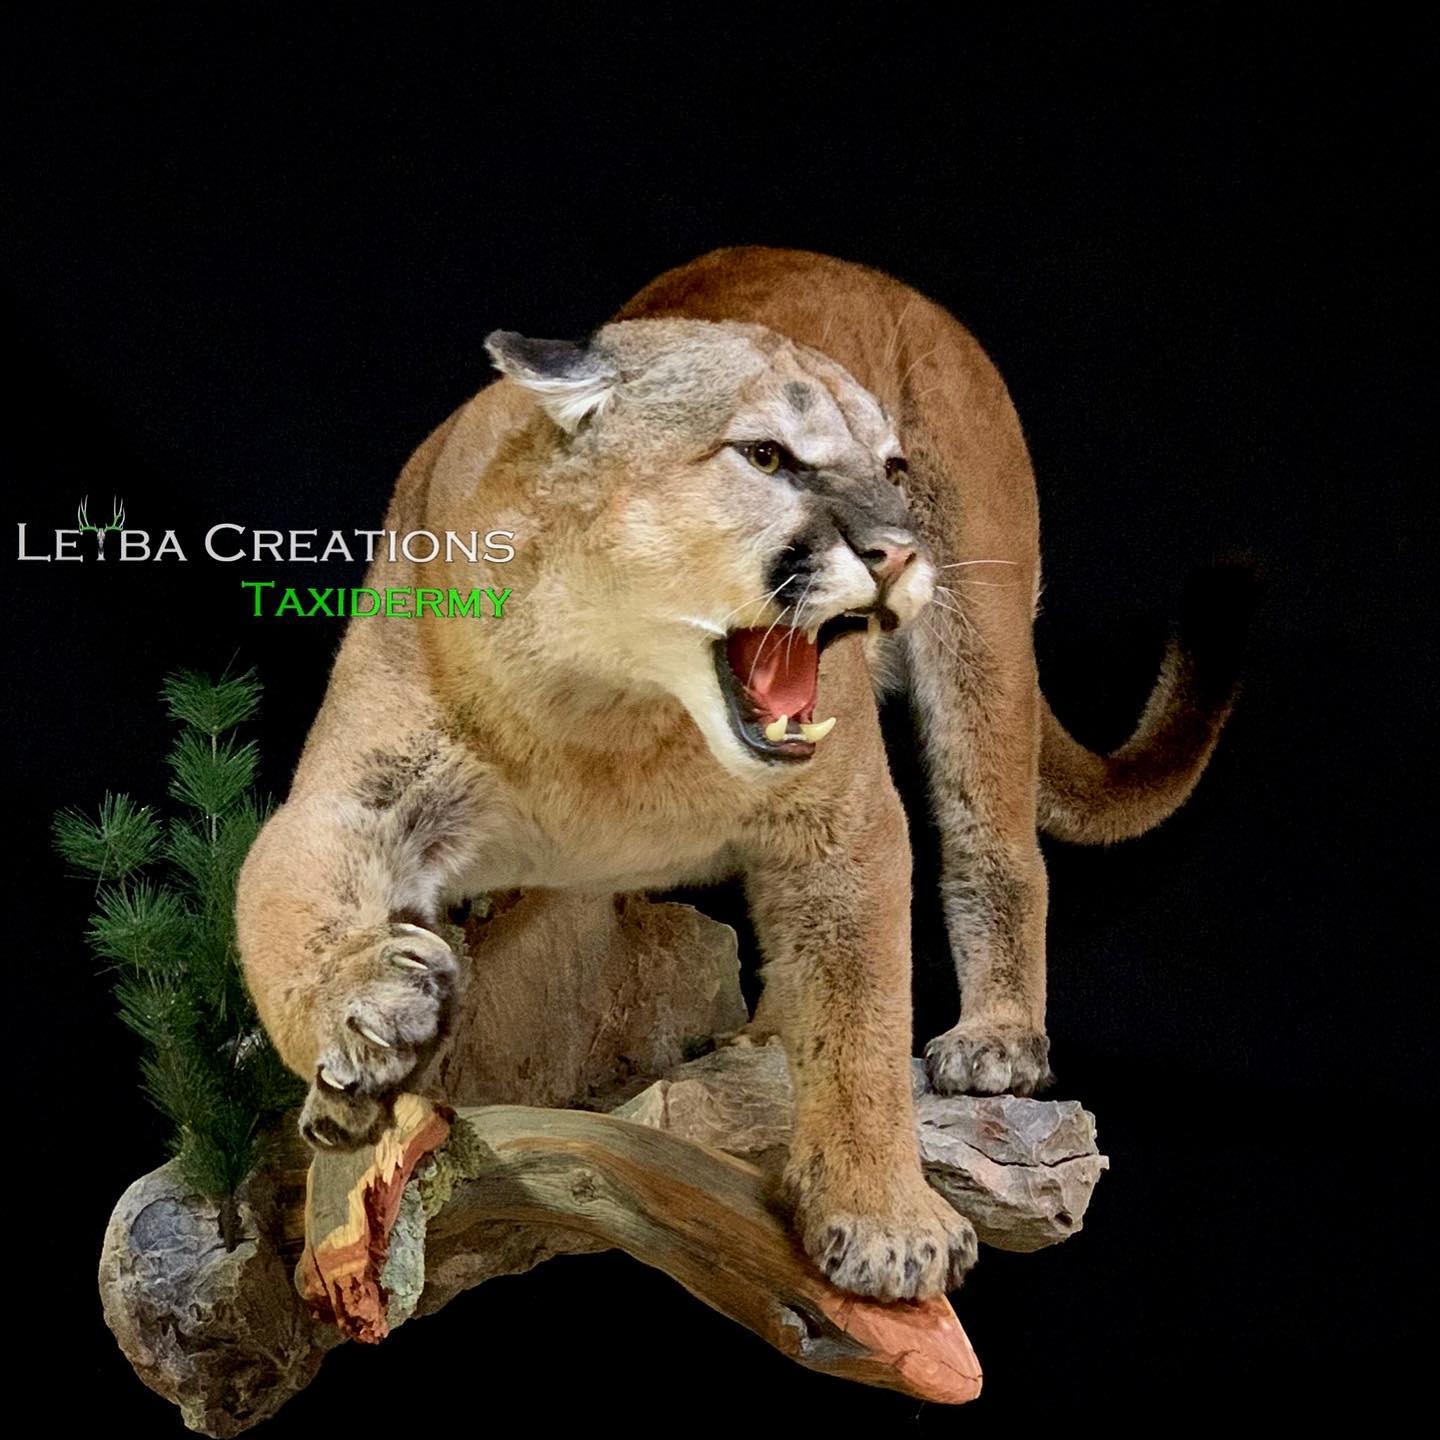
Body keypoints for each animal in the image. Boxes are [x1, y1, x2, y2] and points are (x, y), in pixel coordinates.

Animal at [236, 247, 1250, 1301]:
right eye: (767, 458)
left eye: (891, 470)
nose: (898, 553)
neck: (609, 709)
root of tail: (868, 272)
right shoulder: (351, 796)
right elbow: (282, 910)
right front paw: (363, 1027)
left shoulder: (846, 821)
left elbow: (863, 1022)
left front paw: (885, 1221)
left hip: (986, 637)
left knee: (996, 845)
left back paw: (996, 1039)